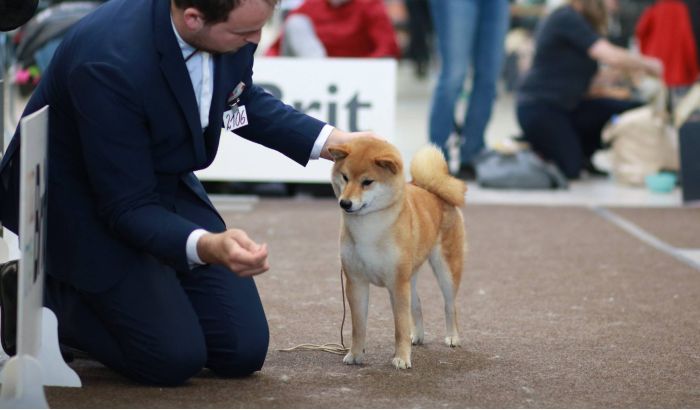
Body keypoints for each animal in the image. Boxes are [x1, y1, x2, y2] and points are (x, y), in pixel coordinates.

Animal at [330, 137, 470, 368]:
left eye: (367, 182)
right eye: (345, 177)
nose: (345, 203)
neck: (369, 228)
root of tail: (430, 188)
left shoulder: (396, 284)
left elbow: (400, 327)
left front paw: (402, 358)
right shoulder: (356, 282)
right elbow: (358, 326)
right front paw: (356, 354)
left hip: (446, 269)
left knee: (450, 305)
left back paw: (452, 337)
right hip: (410, 276)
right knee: (418, 304)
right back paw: (418, 336)